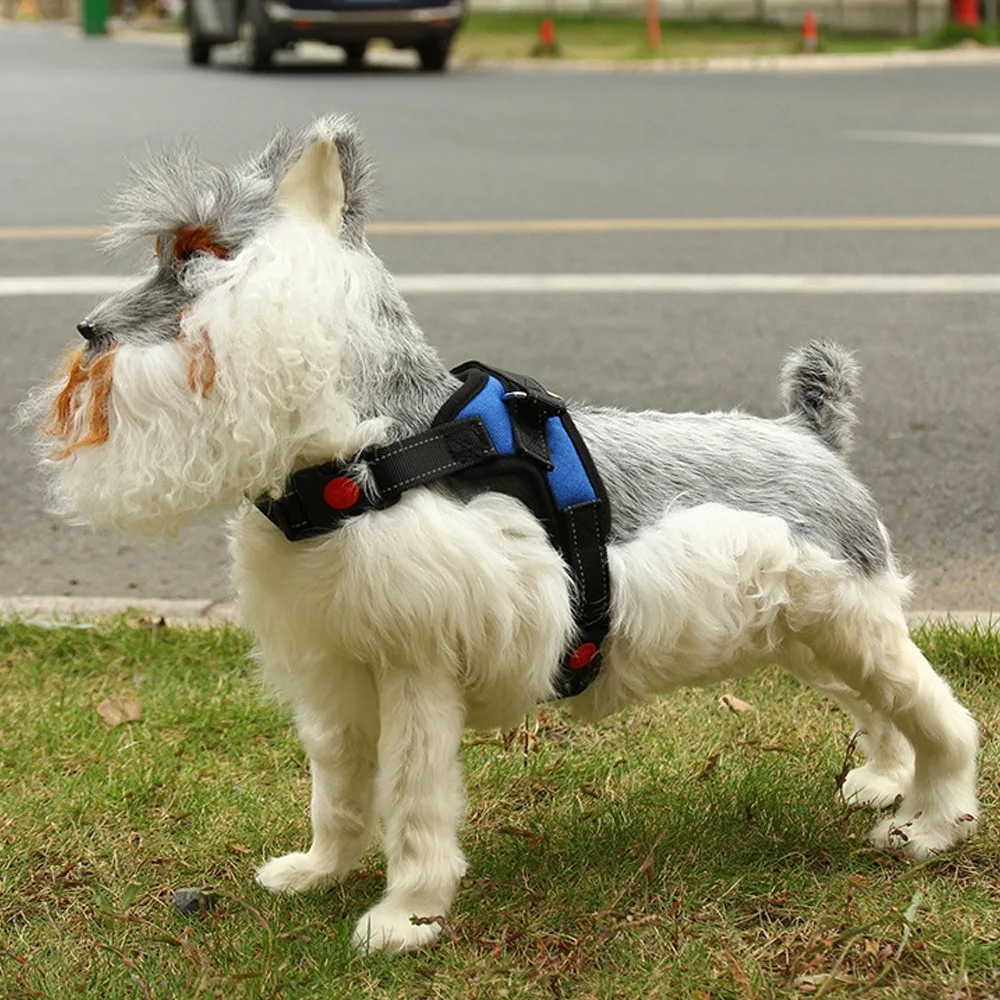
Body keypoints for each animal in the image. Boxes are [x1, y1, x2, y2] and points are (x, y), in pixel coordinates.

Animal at [21, 115, 976, 952]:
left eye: (196, 257)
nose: (88, 330)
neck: (371, 454)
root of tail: (811, 435)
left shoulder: (417, 671)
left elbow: (414, 801)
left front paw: (404, 918)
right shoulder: (337, 670)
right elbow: (337, 790)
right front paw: (320, 872)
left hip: (853, 625)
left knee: (943, 717)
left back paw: (928, 825)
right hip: (808, 637)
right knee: (877, 709)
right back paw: (883, 781)